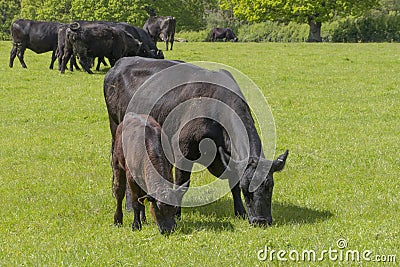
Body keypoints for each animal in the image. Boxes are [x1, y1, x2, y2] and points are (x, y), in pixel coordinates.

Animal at [104, 57, 290, 227]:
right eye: (247, 190)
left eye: (269, 187)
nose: (261, 221)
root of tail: (120, 62)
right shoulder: (182, 152)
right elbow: (182, 184)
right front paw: (177, 214)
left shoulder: (225, 158)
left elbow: (233, 182)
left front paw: (240, 212)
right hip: (115, 127)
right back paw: (129, 207)